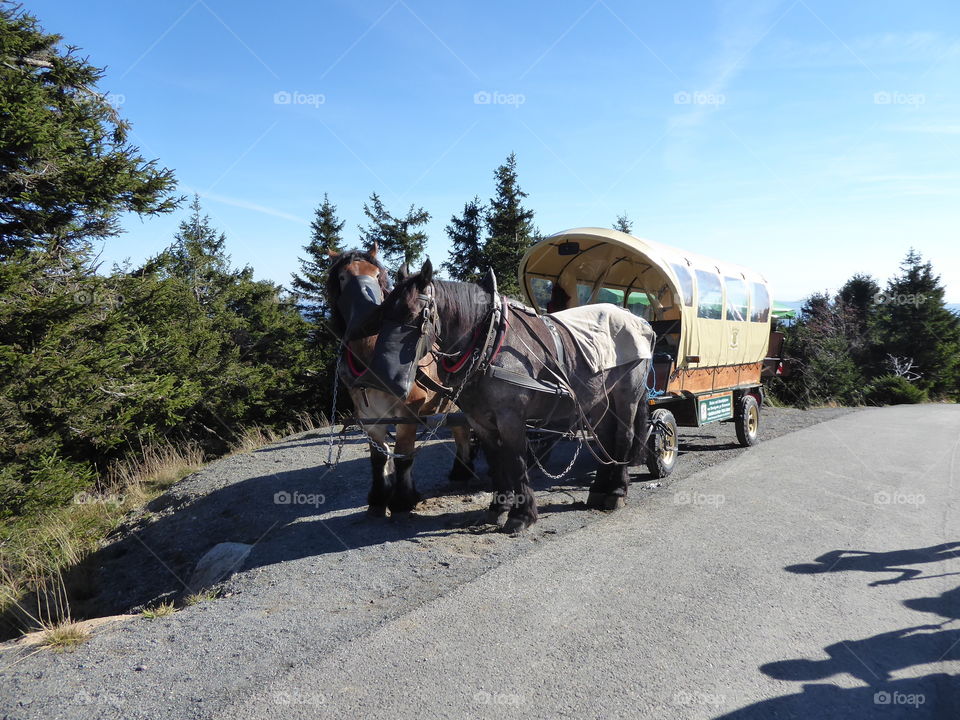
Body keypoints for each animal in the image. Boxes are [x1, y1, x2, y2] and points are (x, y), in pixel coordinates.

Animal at [324, 248, 474, 516]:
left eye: (376, 275)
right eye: (342, 277)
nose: (366, 317)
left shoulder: (408, 412)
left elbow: (404, 454)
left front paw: (403, 500)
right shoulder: (368, 416)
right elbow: (379, 457)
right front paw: (378, 497)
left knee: (463, 430)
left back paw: (462, 470)